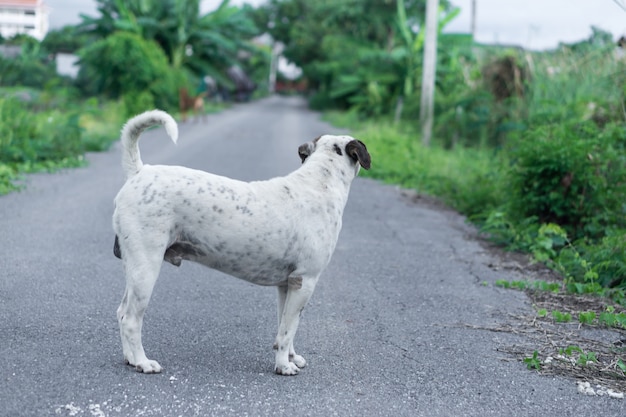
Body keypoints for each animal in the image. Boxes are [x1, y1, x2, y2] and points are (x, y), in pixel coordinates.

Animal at [111, 109, 370, 374]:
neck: (320, 182)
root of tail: (139, 171)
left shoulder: (287, 285)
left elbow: (285, 327)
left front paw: (291, 357)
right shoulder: (304, 281)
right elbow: (288, 331)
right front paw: (283, 366)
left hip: (134, 268)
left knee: (121, 312)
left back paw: (130, 358)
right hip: (146, 268)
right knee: (131, 319)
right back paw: (143, 362)